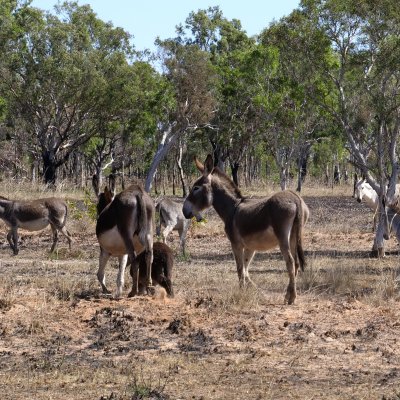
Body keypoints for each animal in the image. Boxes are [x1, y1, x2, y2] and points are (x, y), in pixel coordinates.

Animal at [182, 155, 310, 304]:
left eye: (196, 188)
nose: (184, 211)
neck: (232, 208)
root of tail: (295, 198)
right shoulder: (250, 247)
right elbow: (246, 269)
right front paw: (255, 290)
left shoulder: (236, 244)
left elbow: (239, 269)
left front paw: (241, 292)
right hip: (294, 235)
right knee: (296, 263)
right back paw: (288, 295)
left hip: (283, 236)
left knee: (290, 262)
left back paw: (292, 297)